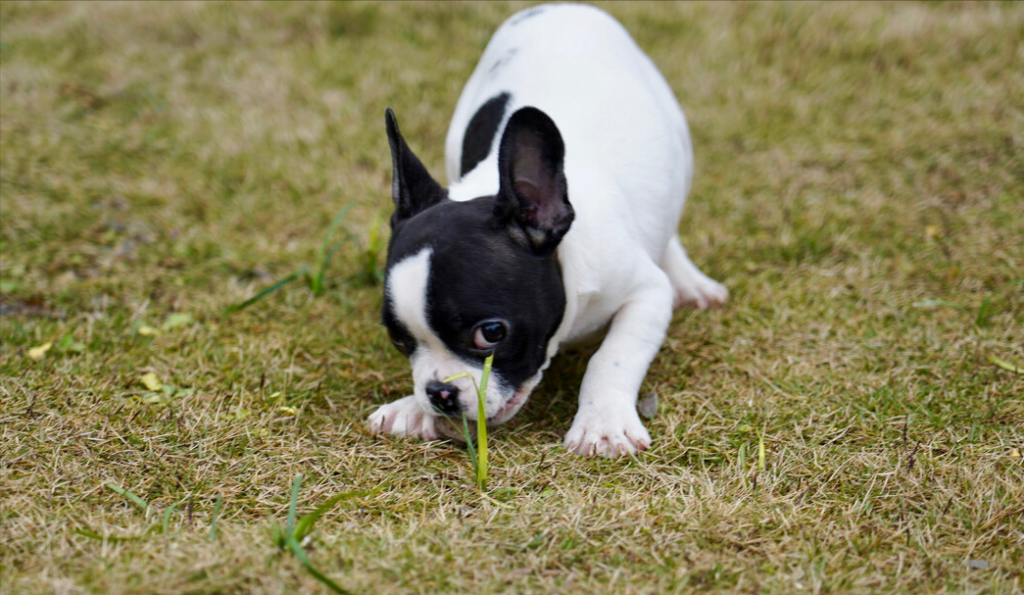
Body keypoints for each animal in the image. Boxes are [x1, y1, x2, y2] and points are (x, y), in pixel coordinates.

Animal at [368, 4, 729, 454]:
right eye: (399, 339)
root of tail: (559, 8)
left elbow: (612, 357)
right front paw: (413, 407)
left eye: (491, 333)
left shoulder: (646, 293)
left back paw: (690, 281)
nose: (441, 393)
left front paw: (601, 423)